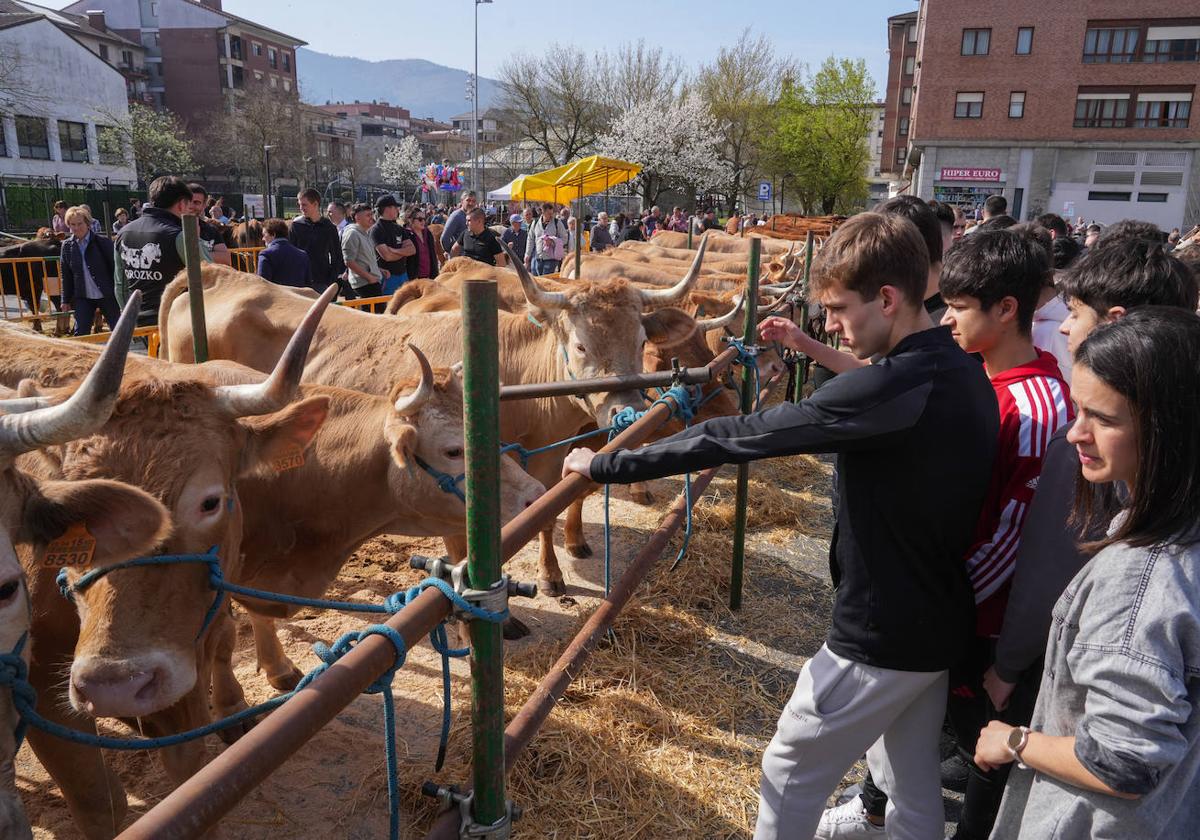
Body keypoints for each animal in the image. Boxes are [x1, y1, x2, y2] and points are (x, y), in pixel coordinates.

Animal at [16, 286, 336, 835]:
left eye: (210, 501)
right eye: (70, 510)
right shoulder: (38, 691)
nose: (117, 686)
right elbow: (101, 803)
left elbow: (191, 774)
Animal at [159, 246, 700, 592]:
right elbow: (464, 550)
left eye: (641, 340)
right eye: (582, 344)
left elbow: (554, 509)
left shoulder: (548, 463)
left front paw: (555, 568)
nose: (626, 410)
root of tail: (219, 274)